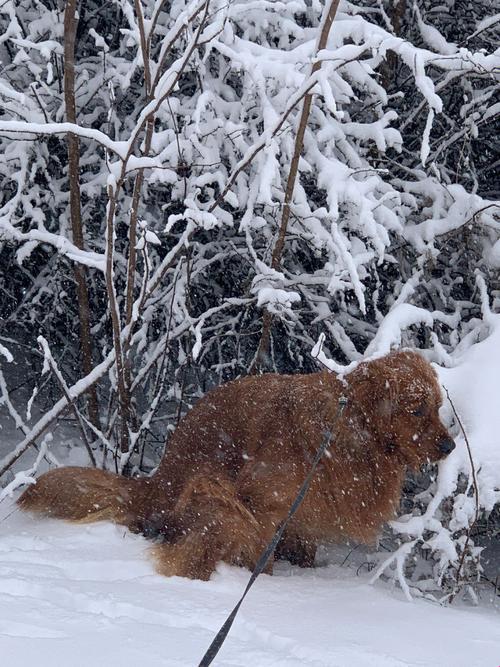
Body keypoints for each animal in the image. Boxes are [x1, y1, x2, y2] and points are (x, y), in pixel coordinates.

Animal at [18, 350, 454, 580]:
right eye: (417, 410)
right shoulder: (262, 503)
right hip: (212, 491)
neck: (346, 427)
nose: (450, 445)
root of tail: (153, 488)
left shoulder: (300, 516)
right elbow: (262, 554)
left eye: (437, 407)